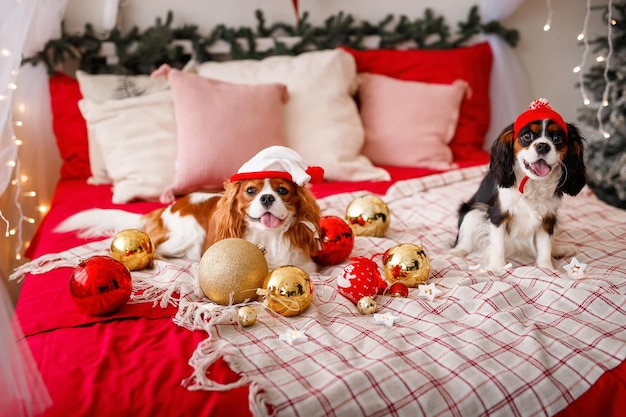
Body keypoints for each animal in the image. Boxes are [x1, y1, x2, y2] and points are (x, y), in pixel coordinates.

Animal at [54, 146, 322, 272]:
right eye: (251, 191)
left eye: (282, 191)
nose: (267, 198)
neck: (268, 237)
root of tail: (167, 208)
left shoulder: (306, 265)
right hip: (188, 234)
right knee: (157, 249)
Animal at [448, 98, 584, 268]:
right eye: (527, 136)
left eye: (557, 139)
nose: (543, 146)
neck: (531, 183)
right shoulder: (498, 214)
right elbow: (498, 244)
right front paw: (498, 268)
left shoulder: (548, 219)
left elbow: (545, 247)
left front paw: (547, 269)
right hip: (472, 211)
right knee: (465, 239)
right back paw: (457, 251)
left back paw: (559, 250)